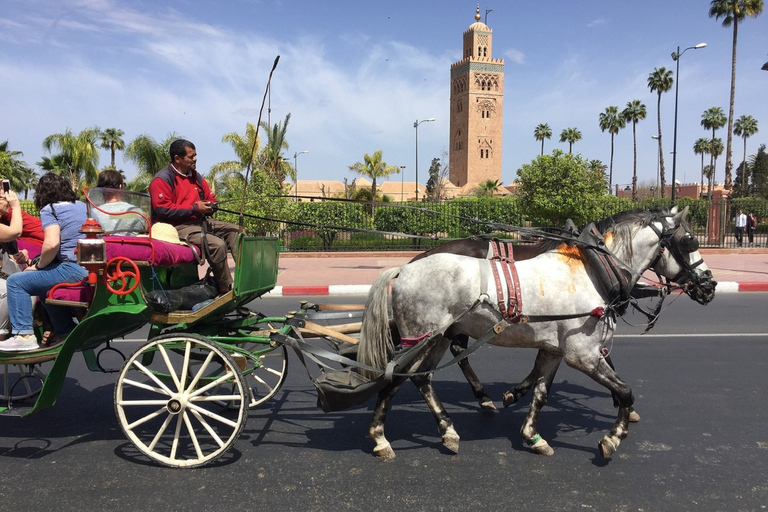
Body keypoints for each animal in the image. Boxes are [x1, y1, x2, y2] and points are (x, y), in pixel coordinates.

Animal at [356, 208, 716, 460]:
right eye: (689, 241)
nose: (709, 285)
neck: (594, 270)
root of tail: (405, 267)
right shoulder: (581, 354)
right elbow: (625, 390)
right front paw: (612, 438)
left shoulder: (554, 350)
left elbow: (541, 393)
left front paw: (532, 434)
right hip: (422, 338)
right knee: (397, 377)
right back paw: (381, 438)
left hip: (438, 338)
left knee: (421, 378)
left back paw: (448, 430)